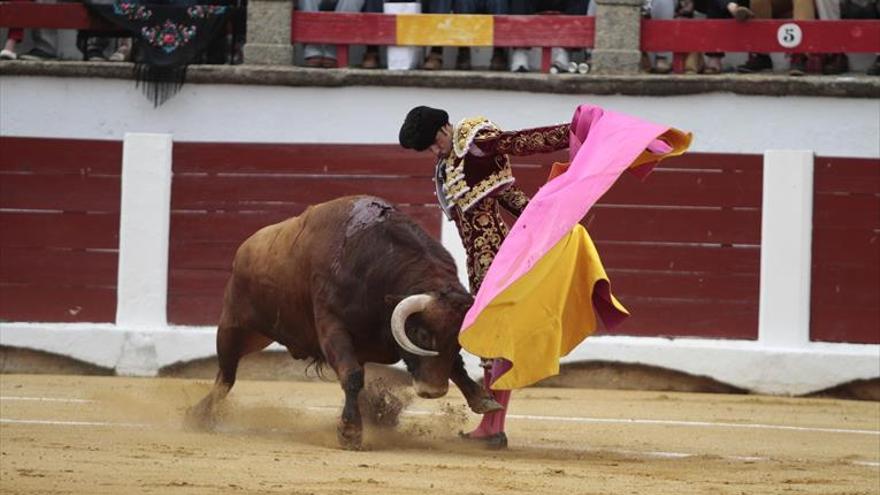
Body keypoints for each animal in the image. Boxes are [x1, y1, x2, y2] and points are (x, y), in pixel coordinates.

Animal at [187, 197, 502, 450]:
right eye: (421, 335)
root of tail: (246, 247)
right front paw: (350, 433)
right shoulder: (332, 328)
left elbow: (455, 366)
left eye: (458, 339)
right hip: (233, 325)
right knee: (226, 376)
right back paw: (199, 415)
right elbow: (351, 376)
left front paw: (482, 399)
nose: (433, 391)